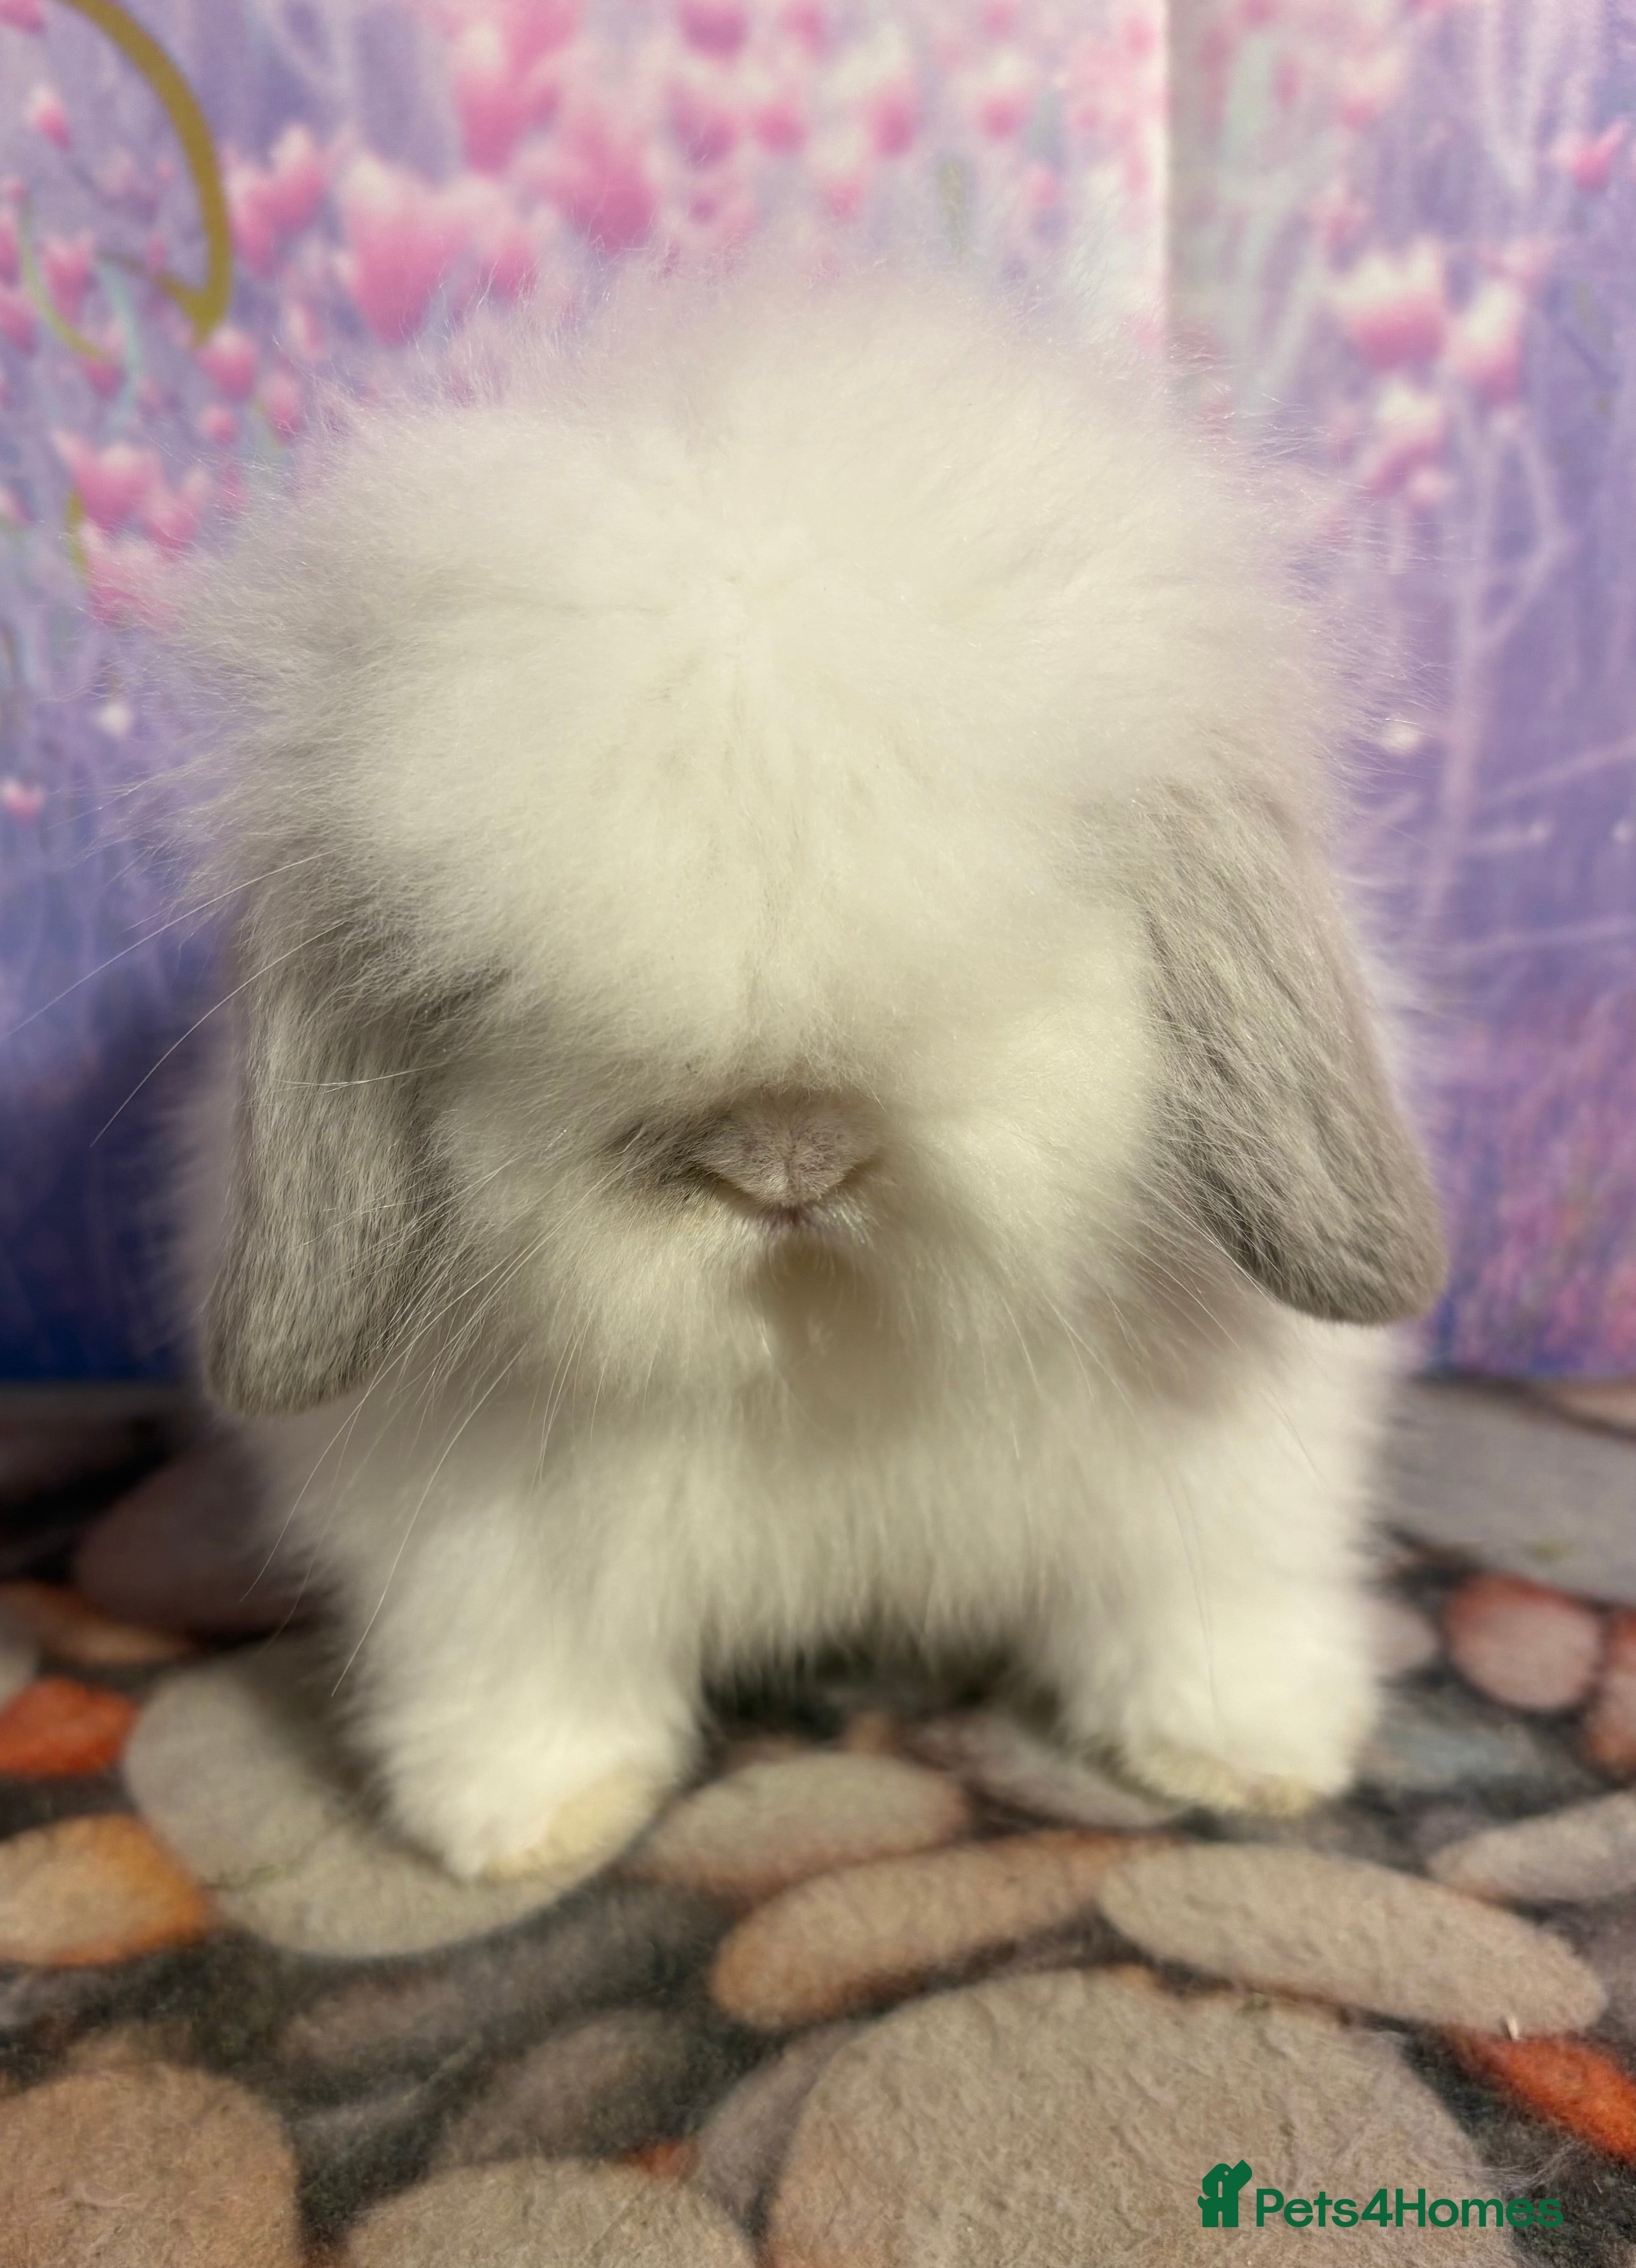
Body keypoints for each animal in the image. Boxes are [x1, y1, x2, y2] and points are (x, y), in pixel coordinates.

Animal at [169, 260, 1446, 1884]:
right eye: (486, 973)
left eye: (1032, 910)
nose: (782, 1157)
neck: (827, 1340)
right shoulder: (477, 1564)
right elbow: (521, 1673)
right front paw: (521, 1827)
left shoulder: (1219, 1498)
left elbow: (1207, 1610)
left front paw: (1254, 1759)